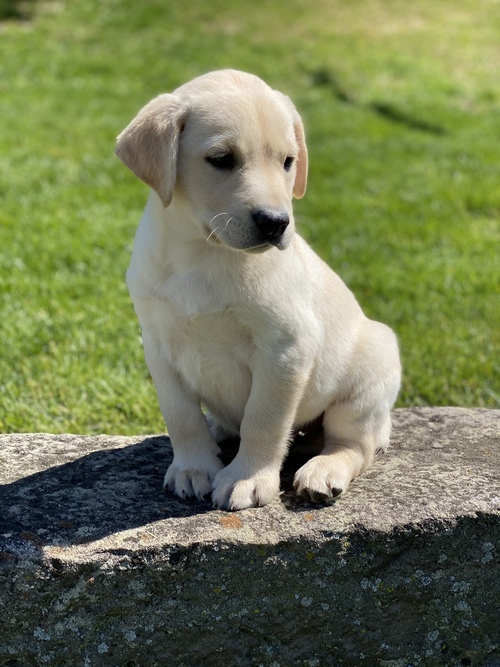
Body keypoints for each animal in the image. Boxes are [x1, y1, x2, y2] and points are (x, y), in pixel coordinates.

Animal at [115, 70, 400, 512]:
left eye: (288, 162)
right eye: (221, 159)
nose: (276, 222)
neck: (203, 253)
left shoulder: (285, 347)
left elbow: (263, 420)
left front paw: (247, 478)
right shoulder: (157, 343)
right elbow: (181, 416)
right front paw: (193, 466)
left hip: (370, 375)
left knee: (354, 445)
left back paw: (323, 470)